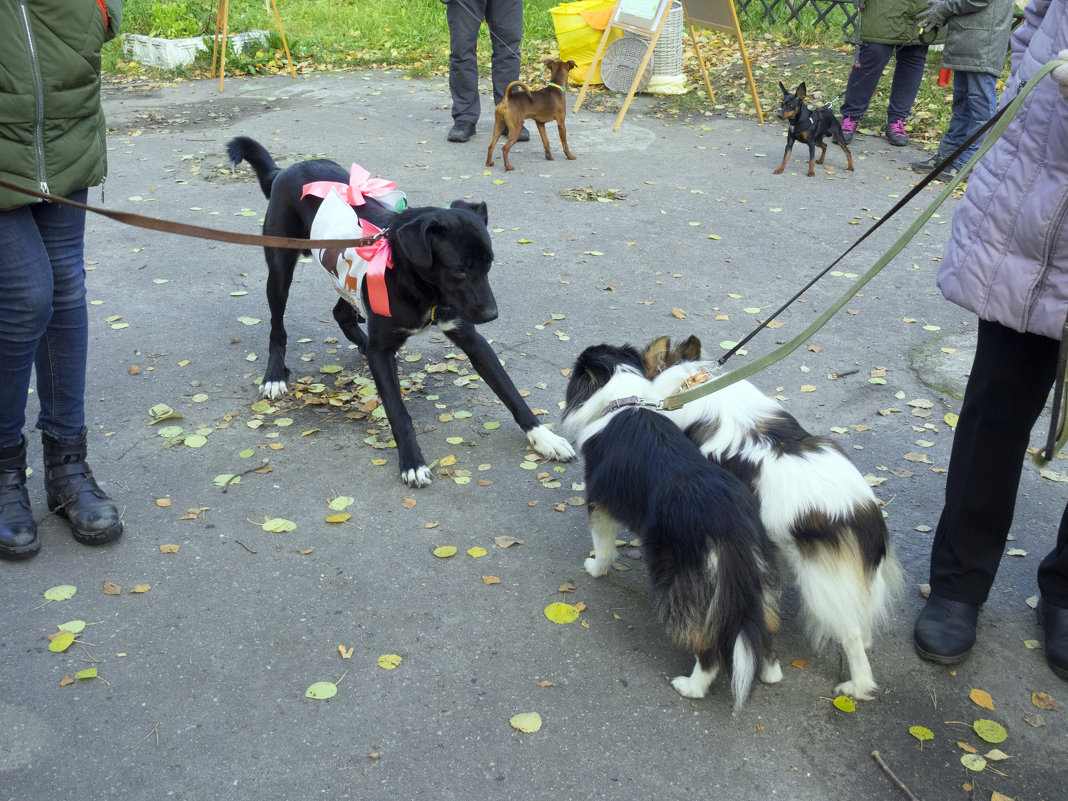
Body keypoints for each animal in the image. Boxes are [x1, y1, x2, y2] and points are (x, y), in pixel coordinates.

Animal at [226, 136, 576, 489]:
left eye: (489, 264)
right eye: (460, 271)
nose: (492, 315)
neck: (421, 286)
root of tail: (285, 170)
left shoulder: (470, 337)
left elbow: (510, 392)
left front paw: (543, 437)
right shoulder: (383, 350)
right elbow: (398, 411)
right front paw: (412, 462)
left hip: (347, 282)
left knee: (342, 313)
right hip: (280, 268)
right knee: (278, 326)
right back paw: (274, 375)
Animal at [563, 341, 781, 713]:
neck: (624, 399)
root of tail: (728, 522)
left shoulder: (600, 502)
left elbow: (603, 546)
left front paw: (595, 568)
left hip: (682, 583)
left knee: (707, 647)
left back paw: (691, 686)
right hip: (758, 574)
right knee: (761, 627)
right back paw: (769, 671)